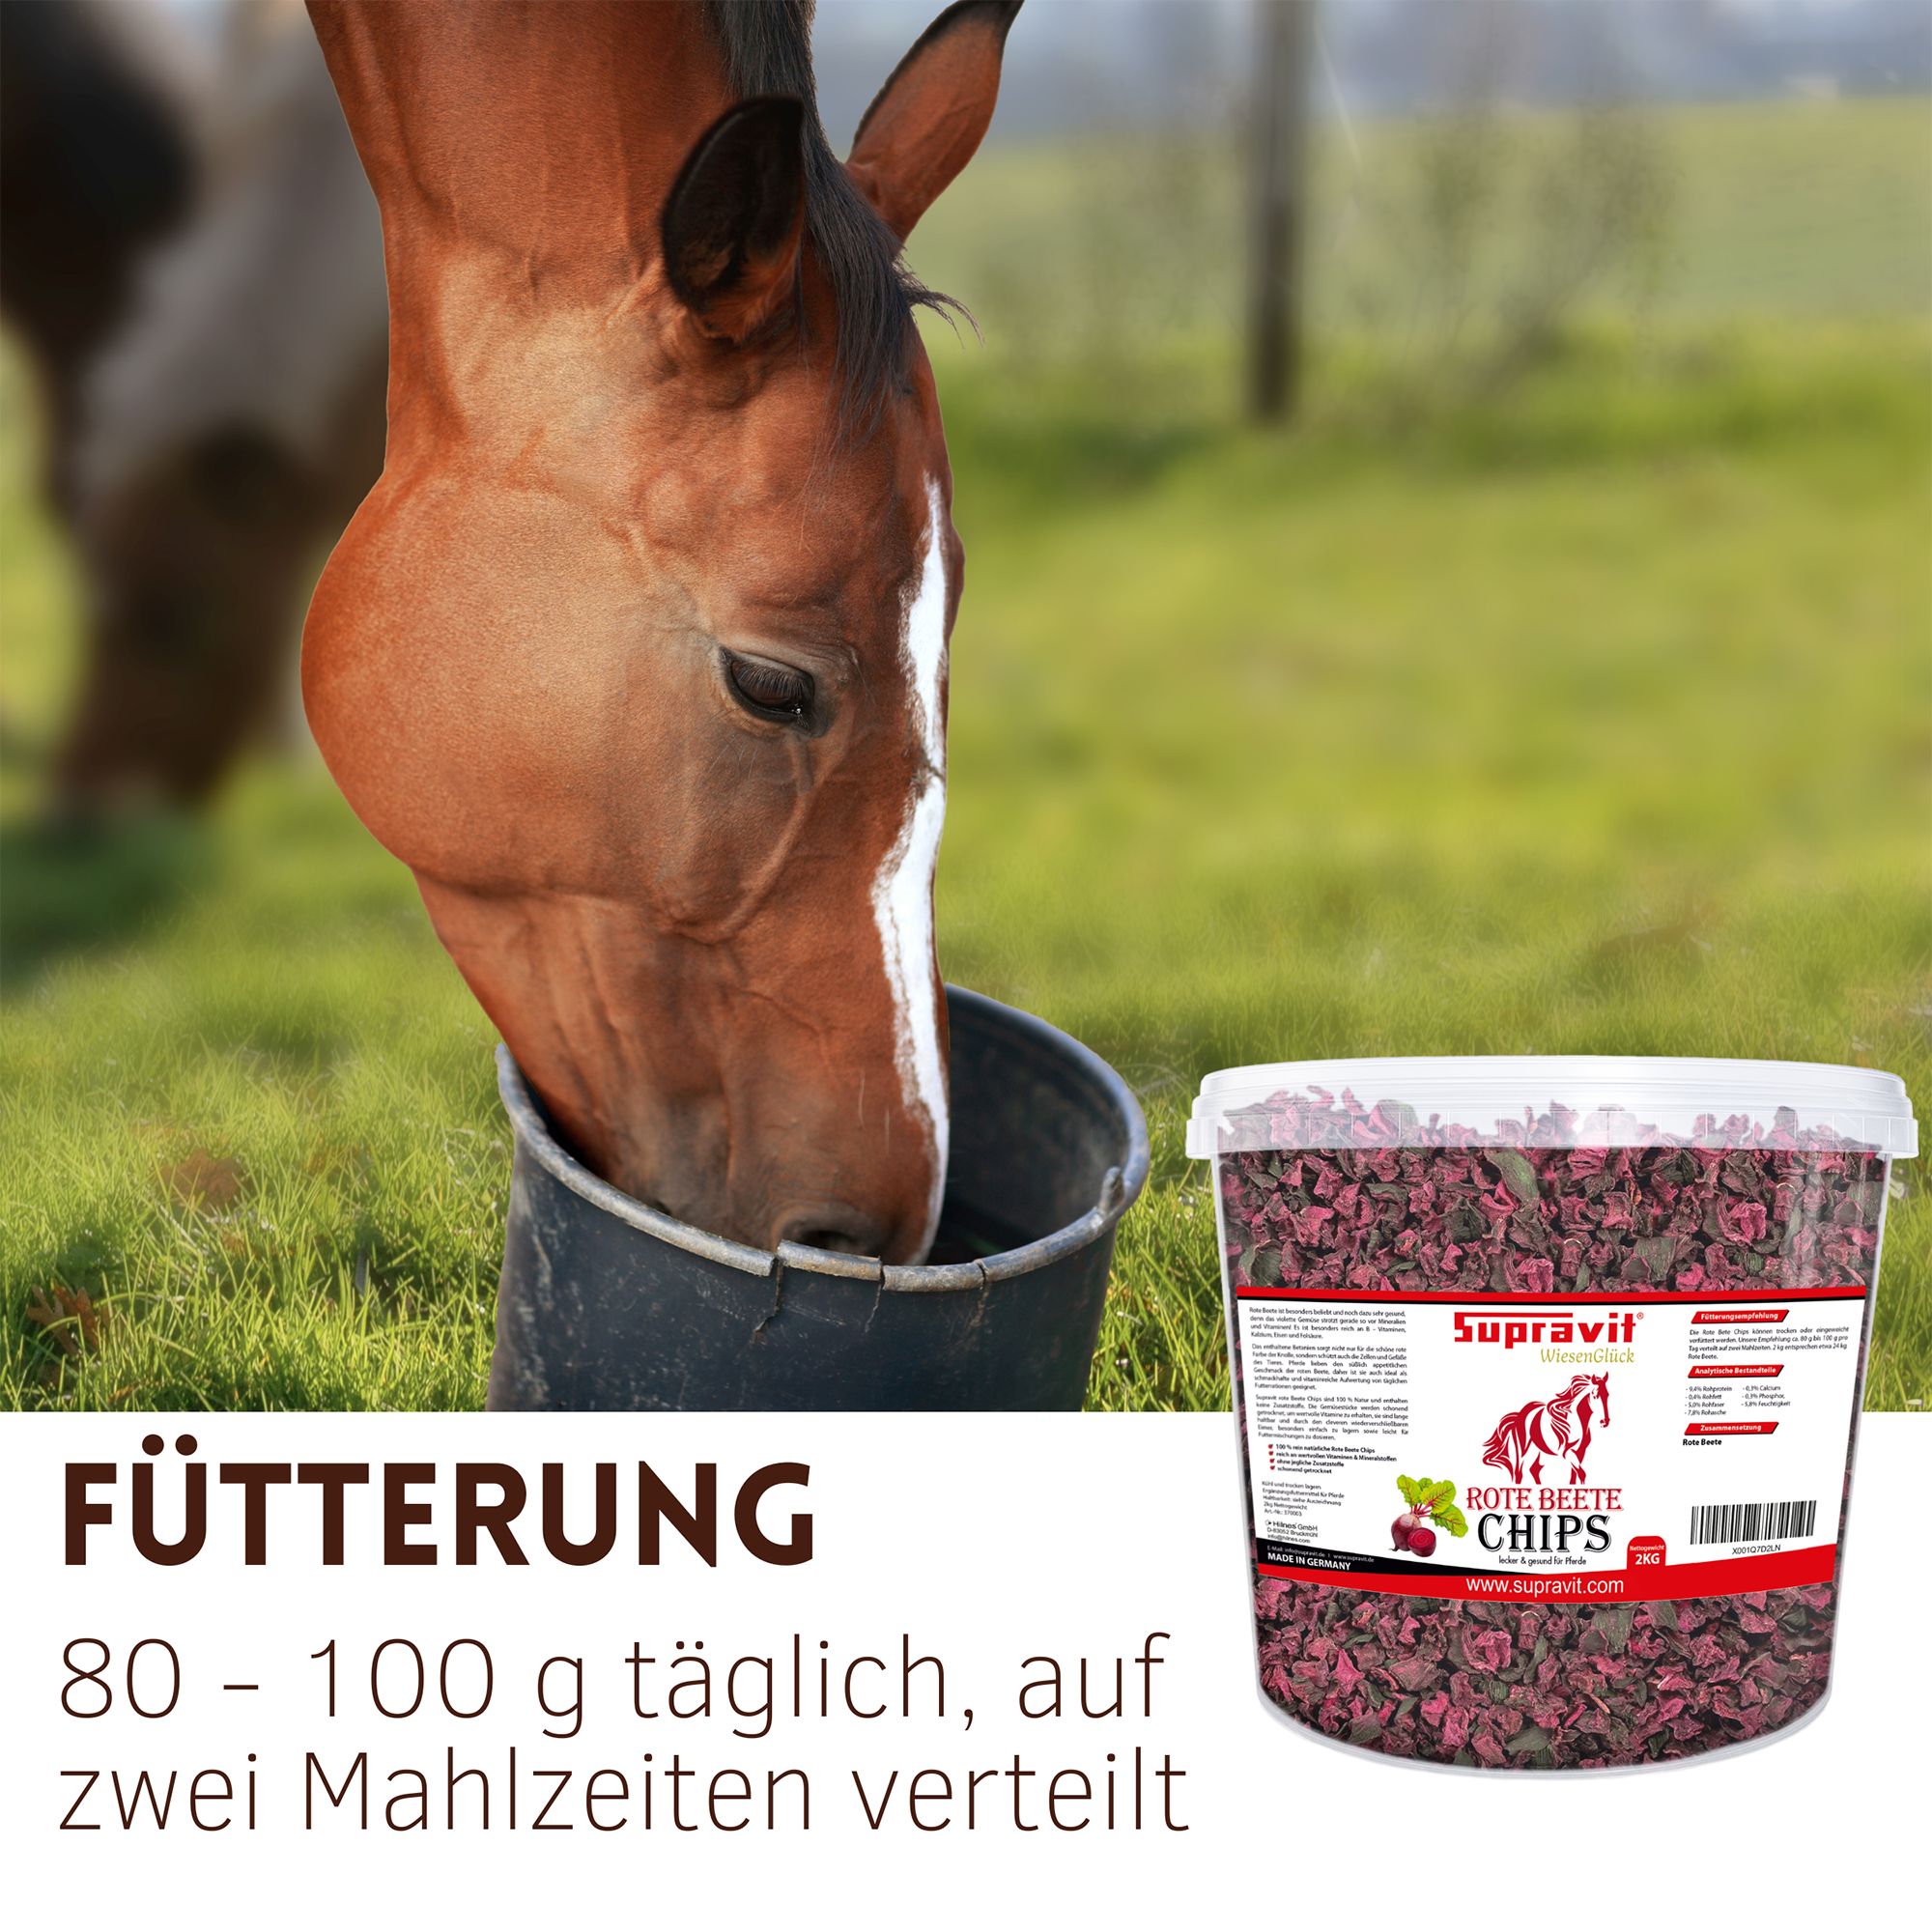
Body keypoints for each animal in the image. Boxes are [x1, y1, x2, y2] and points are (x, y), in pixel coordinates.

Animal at [1481, 1373, 1611, 1485]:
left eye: (1607, 1395)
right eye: (1595, 1395)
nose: (1605, 1422)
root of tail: (1519, 1415)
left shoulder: (1580, 1452)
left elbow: (1575, 1476)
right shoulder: (1566, 1452)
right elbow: (1582, 1474)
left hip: (1537, 1450)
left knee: (1534, 1469)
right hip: (1523, 1452)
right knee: (1519, 1473)